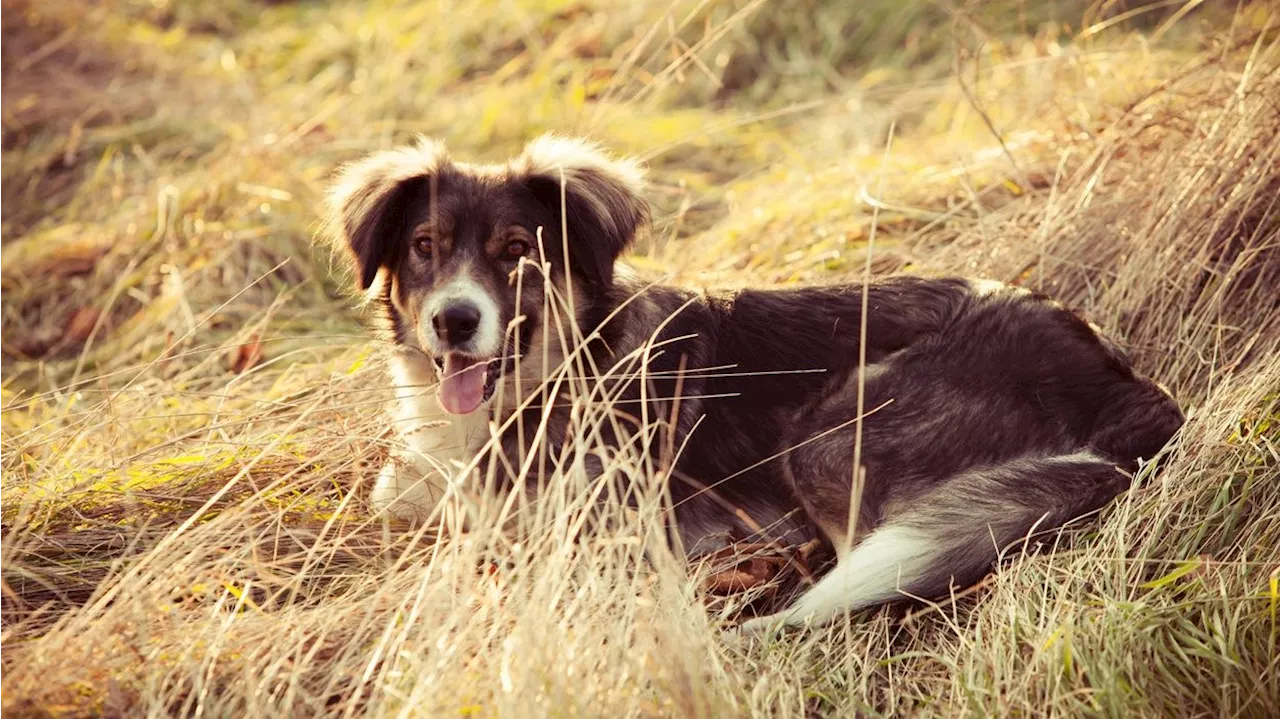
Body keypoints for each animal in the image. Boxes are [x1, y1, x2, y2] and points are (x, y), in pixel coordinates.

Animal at [325, 133, 1182, 626]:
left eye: (516, 251)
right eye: (426, 246)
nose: (454, 320)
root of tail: (1127, 385)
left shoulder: (616, 530)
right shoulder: (412, 497)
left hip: (831, 436)